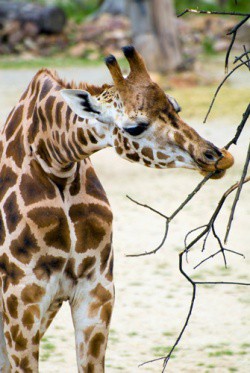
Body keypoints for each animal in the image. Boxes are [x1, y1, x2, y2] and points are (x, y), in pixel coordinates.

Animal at [0, 45, 234, 370]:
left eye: (176, 108)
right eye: (134, 127)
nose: (215, 157)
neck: (56, 164)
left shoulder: (97, 291)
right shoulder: (21, 298)